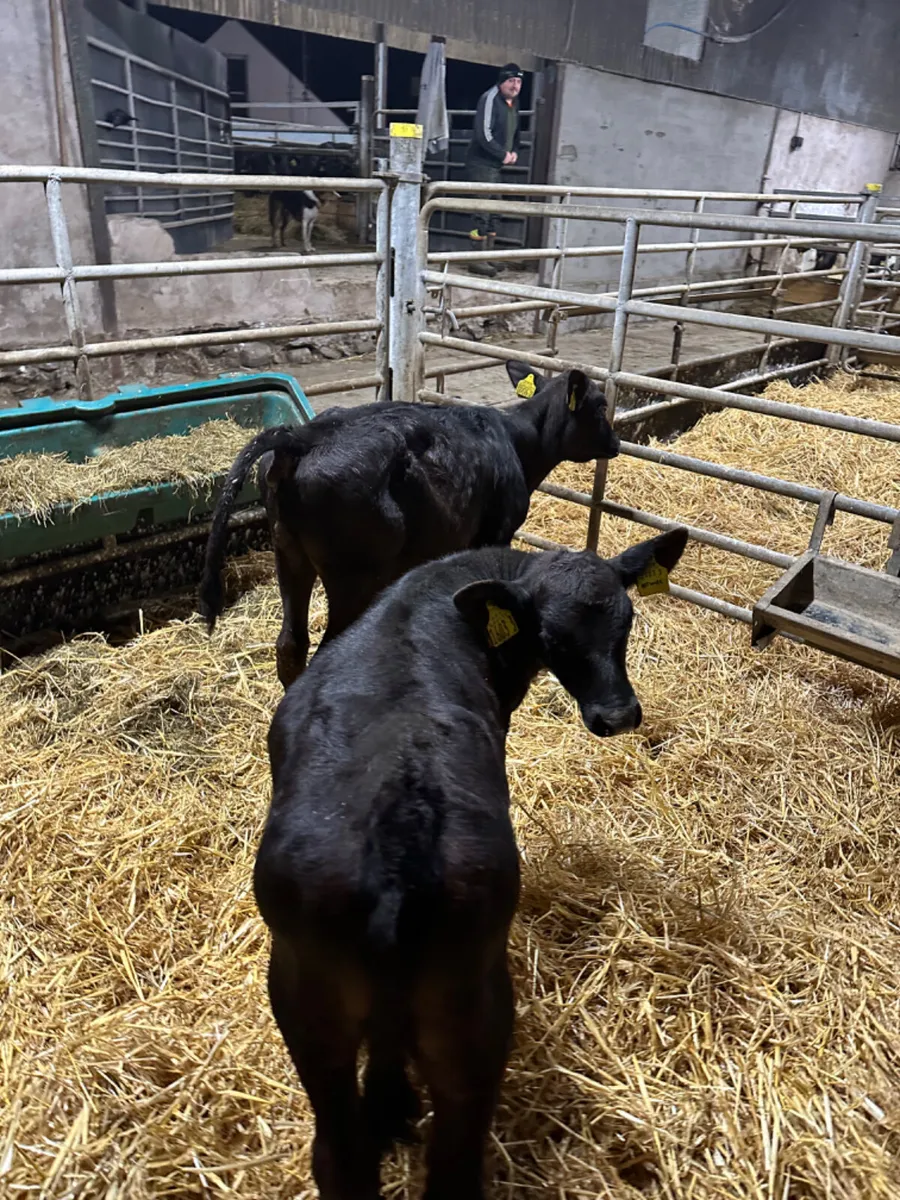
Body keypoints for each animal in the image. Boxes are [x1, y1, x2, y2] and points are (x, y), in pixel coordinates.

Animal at [199, 362, 621, 689]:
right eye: (600, 406)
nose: (616, 443)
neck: (518, 443)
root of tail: (304, 435)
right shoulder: (495, 533)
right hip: (354, 576)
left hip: (288, 554)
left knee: (290, 646)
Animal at [254, 528, 690, 1200]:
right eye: (553, 637)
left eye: (626, 622)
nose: (617, 716)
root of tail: (398, 834)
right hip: (475, 1013)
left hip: (312, 1009)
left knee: (341, 1154)